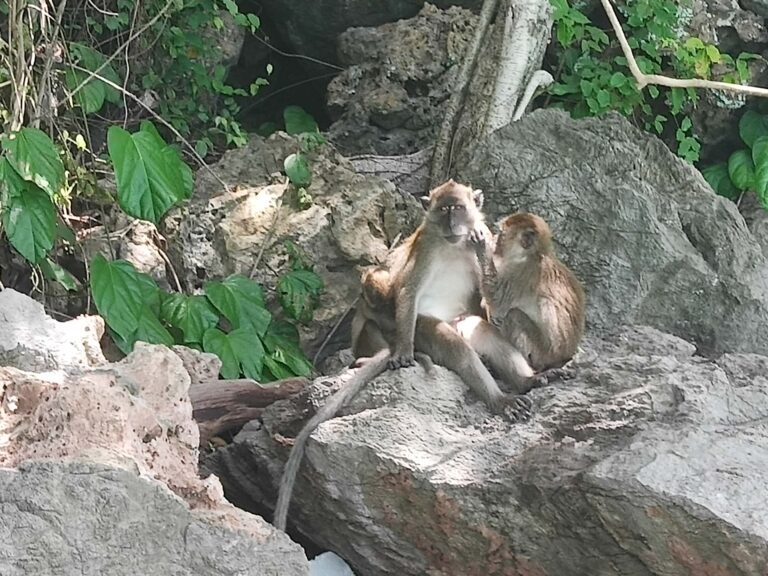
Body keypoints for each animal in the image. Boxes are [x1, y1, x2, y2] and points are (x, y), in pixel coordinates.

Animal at [456, 214, 588, 394]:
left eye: (502, 234)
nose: (495, 240)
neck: (534, 255)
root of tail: (565, 355)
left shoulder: (521, 272)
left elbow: (497, 299)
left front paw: (483, 246)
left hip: (541, 353)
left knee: (514, 316)